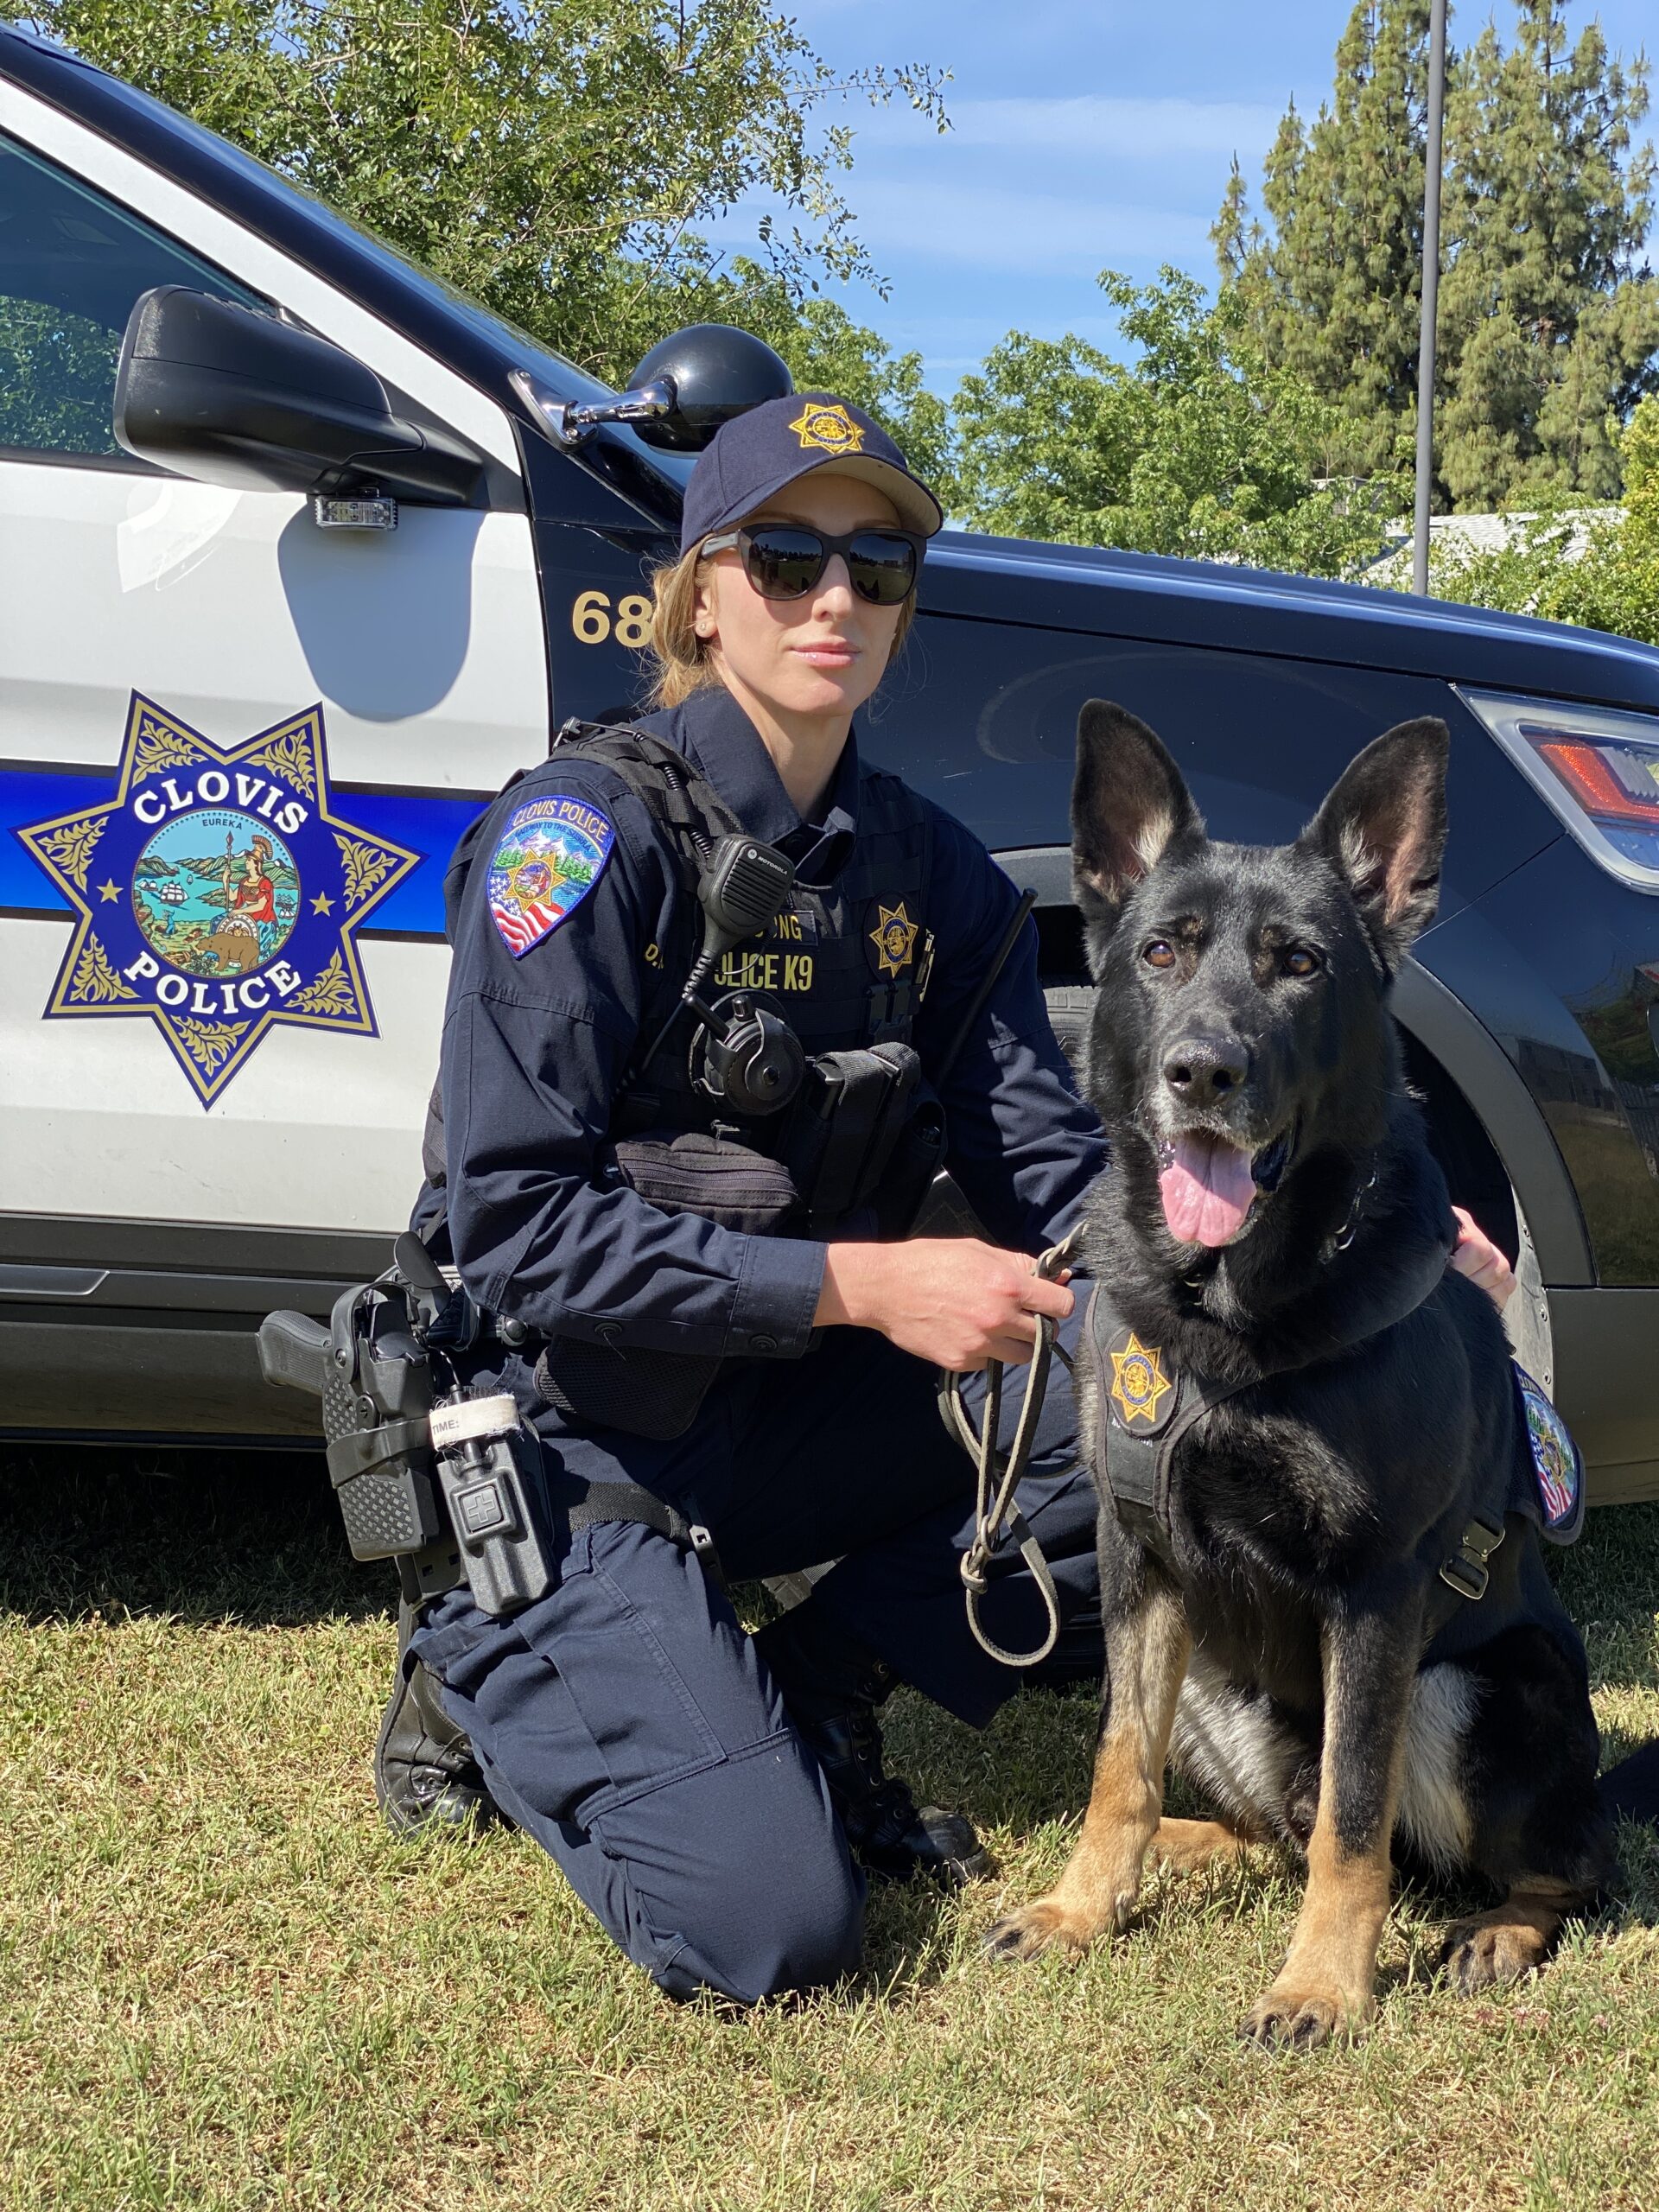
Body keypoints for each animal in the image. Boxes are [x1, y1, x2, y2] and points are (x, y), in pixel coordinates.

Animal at [995, 698, 1618, 2044]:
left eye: (1300, 965)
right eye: (1162, 954)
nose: (1201, 1072)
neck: (1228, 1317)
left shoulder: (1377, 1593)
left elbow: (1353, 1817)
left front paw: (1322, 1984)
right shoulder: (1140, 1563)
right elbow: (1116, 1767)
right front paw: (1083, 1905)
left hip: (1469, 1689)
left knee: (1553, 1864)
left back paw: (1497, 1930)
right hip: (1212, 1680)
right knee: (1264, 1824)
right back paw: (1189, 1847)